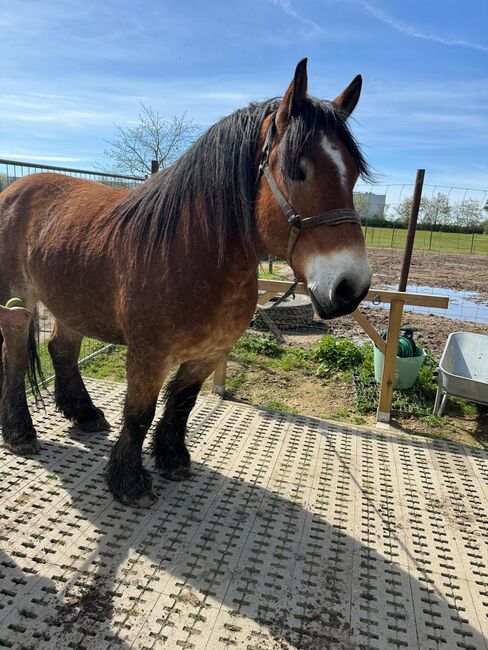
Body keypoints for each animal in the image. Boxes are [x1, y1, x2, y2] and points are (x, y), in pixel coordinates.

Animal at [0, 59, 370, 506]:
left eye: (353, 173)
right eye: (297, 170)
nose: (349, 288)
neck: (191, 255)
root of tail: (16, 188)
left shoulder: (209, 352)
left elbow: (181, 403)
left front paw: (173, 458)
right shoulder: (149, 354)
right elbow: (139, 413)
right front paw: (128, 481)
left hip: (70, 301)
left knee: (62, 350)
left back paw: (84, 414)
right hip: (16, 303)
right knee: (15, 359)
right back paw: (19, 432)